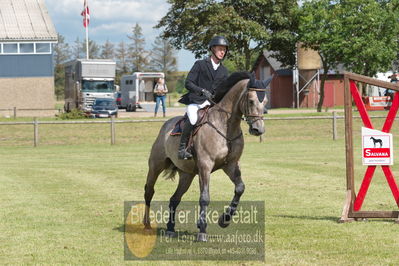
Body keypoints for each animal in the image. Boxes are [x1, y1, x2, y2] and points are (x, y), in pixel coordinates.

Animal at [142, 72, 270, 241]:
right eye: (251, 101)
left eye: (266, 102)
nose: (258, 130)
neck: (226, 126)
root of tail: (166, 125)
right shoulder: (205, 165)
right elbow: (204, 197)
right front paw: (202, 230)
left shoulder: (230, 165)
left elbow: (240, 188)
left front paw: (224, 219)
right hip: (156, 166)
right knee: (149, 191)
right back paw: (147, 224)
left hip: (187, 175)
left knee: (174, 199)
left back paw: (170, 228)